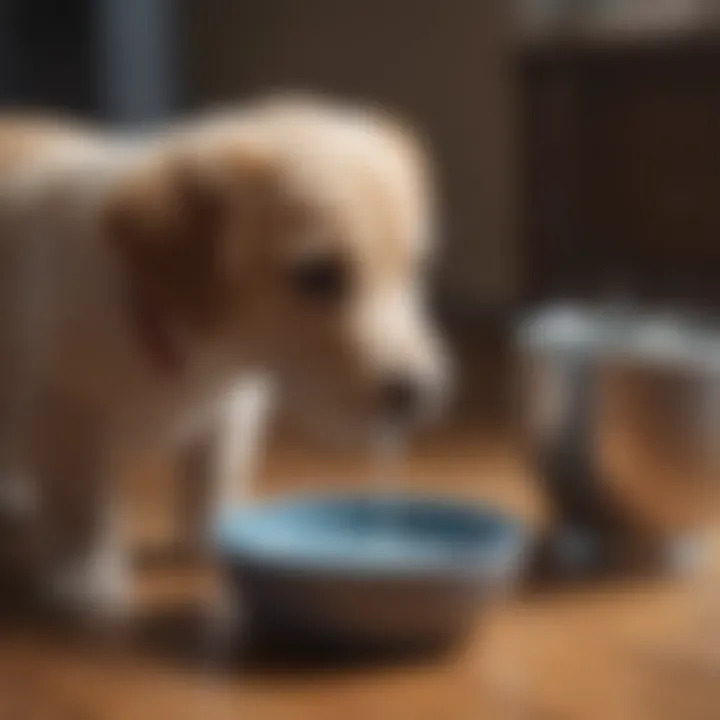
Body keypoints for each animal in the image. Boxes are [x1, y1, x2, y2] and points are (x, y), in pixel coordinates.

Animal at [0, 97, 450, 620]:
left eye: (413, 269)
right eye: (317, 275)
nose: (417, 394)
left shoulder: (231, 413)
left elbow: (213, 479)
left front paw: (216, 540)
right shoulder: (69, 408)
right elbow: (81, 505)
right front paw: (83, 577)